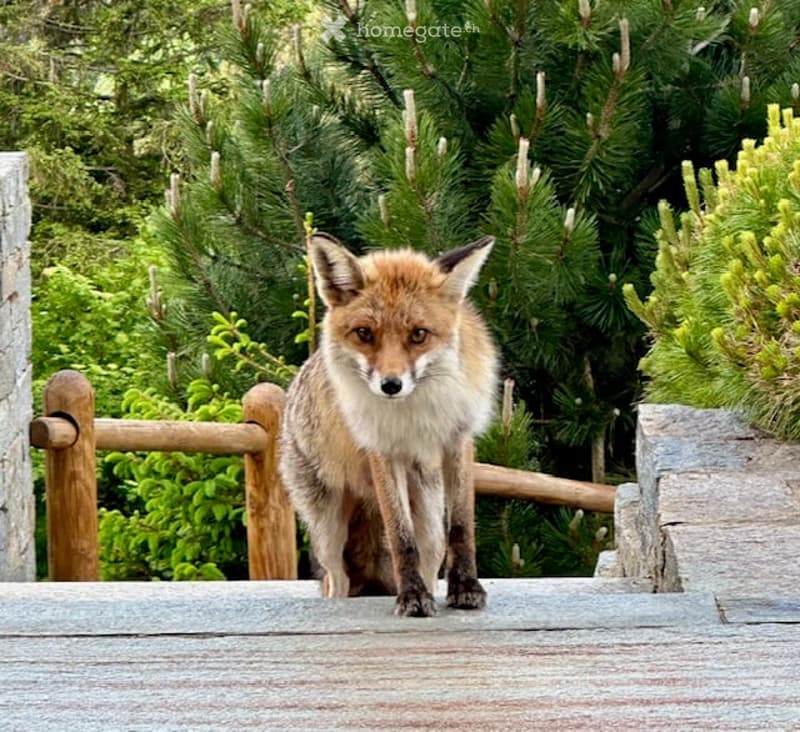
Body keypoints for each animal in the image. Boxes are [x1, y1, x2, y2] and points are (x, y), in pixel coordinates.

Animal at [279, 233, 498, 617]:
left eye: (419, 334)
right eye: (365, 333)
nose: (391, 385)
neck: (414, 413)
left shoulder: (458, 440)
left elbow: (461, 527)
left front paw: (466, 588)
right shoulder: (382, 450)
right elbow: (400, 537)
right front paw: (411, 597)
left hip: (429, 518)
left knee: (431, 553)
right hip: (329, 532)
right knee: (336, 581)